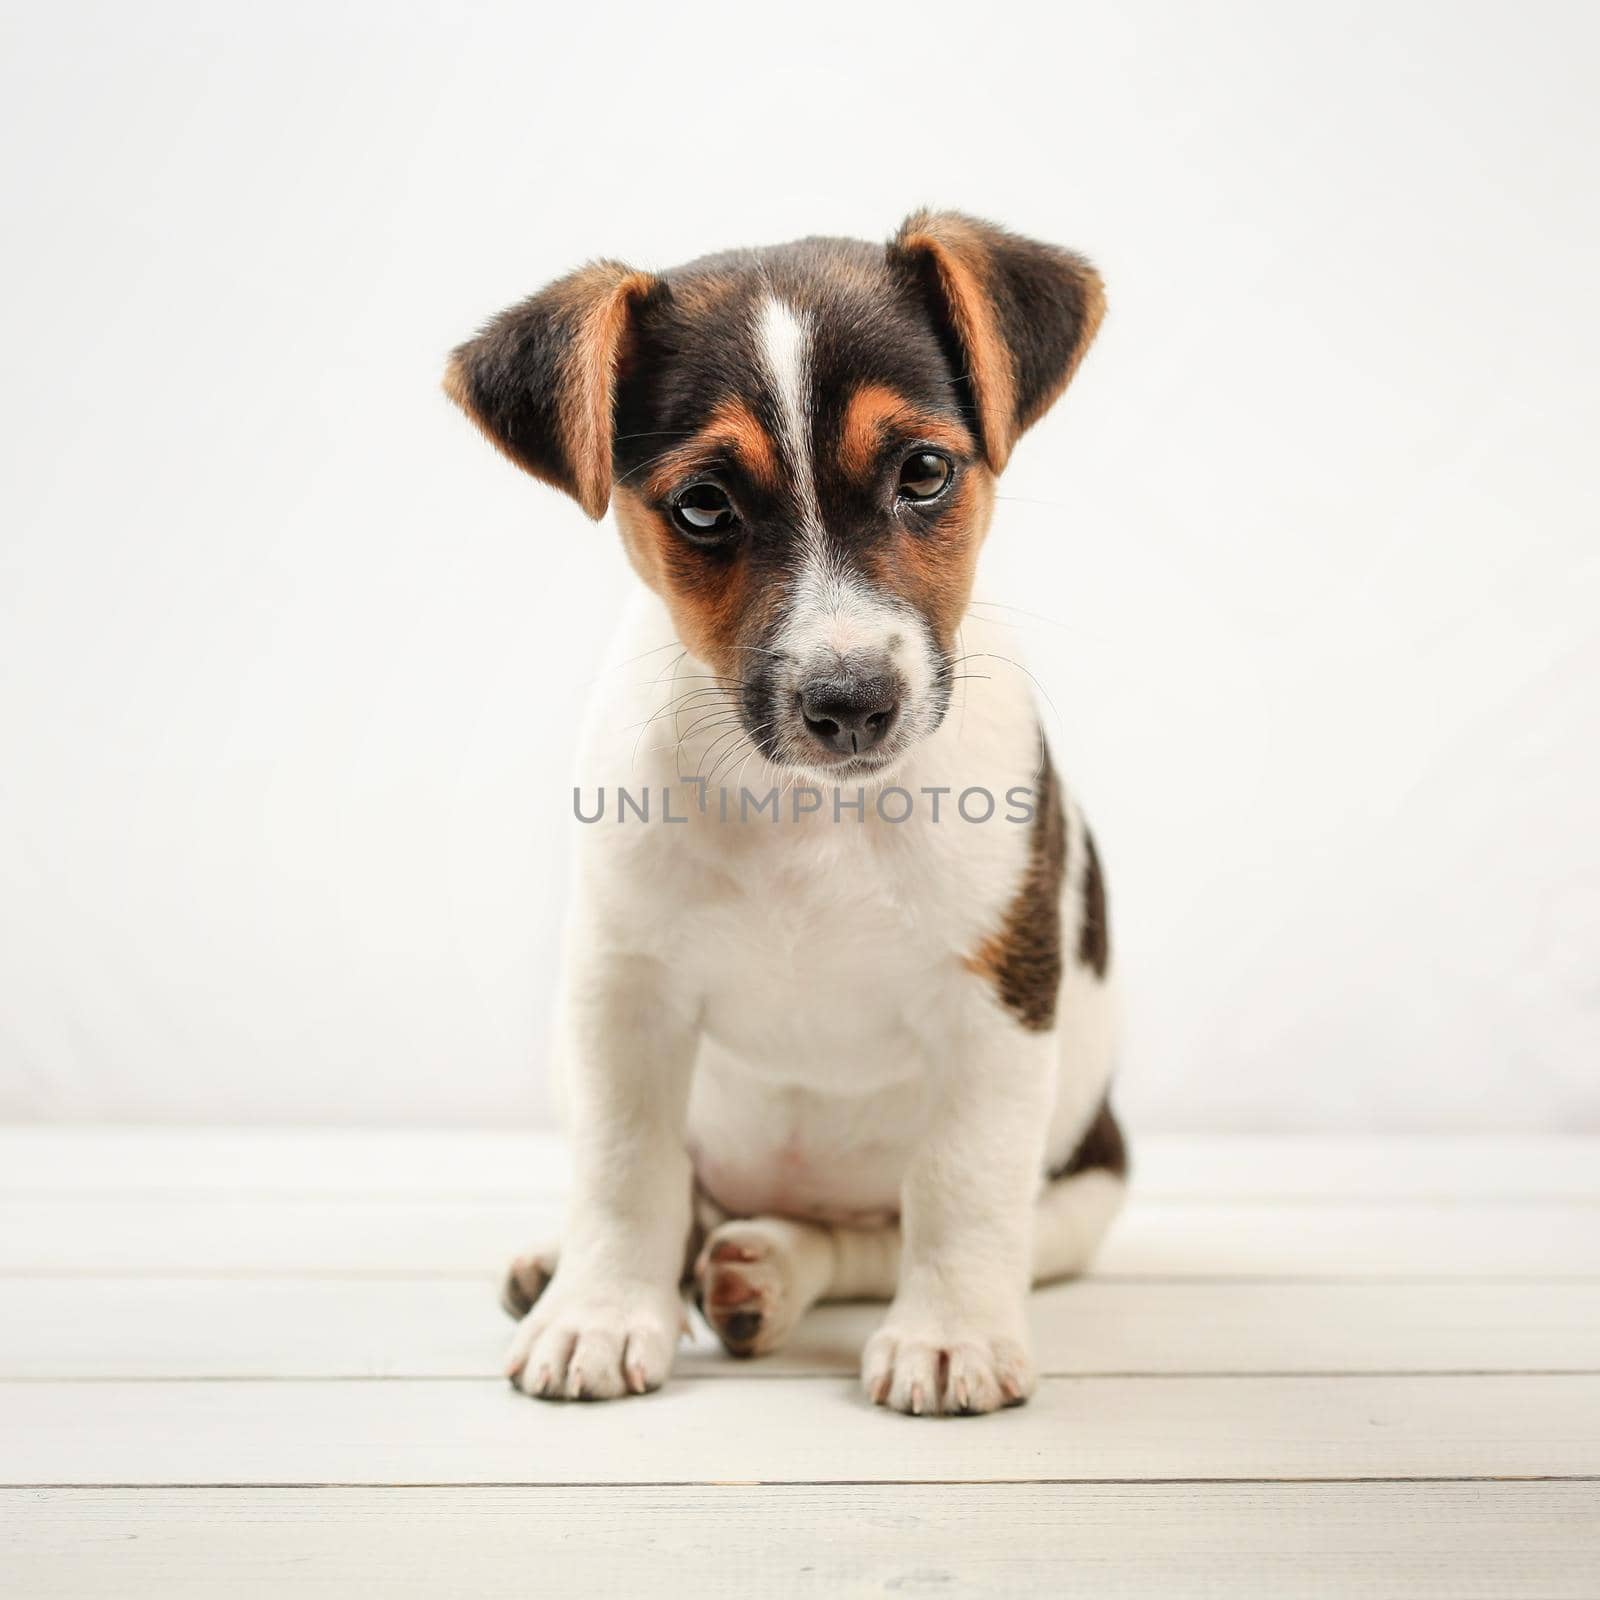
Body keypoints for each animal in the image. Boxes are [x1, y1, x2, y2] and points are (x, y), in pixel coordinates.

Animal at [448, 209, 1126, 1414]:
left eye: (925, 471)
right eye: (703, 506)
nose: (850, 702)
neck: (809, 815)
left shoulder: (998, 998)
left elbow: (958, 1182)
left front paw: (949, 1334)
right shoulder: (622, 991)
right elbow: (626, 1168)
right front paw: (599, 1310)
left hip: (1080, 1196)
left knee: (874, 1235)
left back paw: (767, 1269)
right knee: (685, 1195)